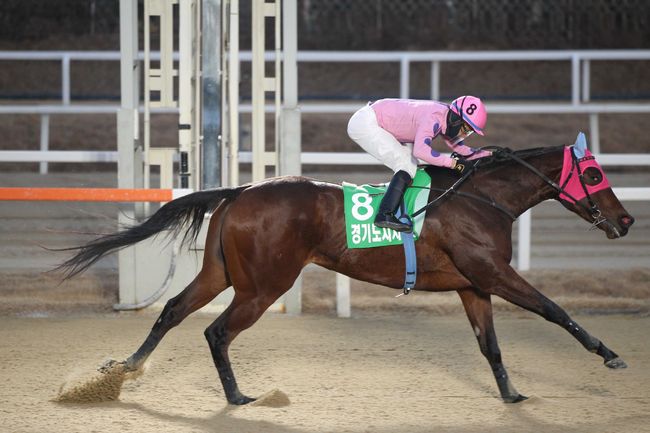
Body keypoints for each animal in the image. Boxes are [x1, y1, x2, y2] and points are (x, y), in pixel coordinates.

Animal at [57, 141, 632, 402]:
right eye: (594, 175)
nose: (626, 221)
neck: (481, 198)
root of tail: (241, 190)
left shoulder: (474, 286)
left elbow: (489, 345)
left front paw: (511, 394)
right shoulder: (493, 274)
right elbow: (554, 309)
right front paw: (610, 355)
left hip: (221, 274)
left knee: (174, 310)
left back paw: (123, 368)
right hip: (264, 285)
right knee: (216, 331)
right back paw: (238, 397)